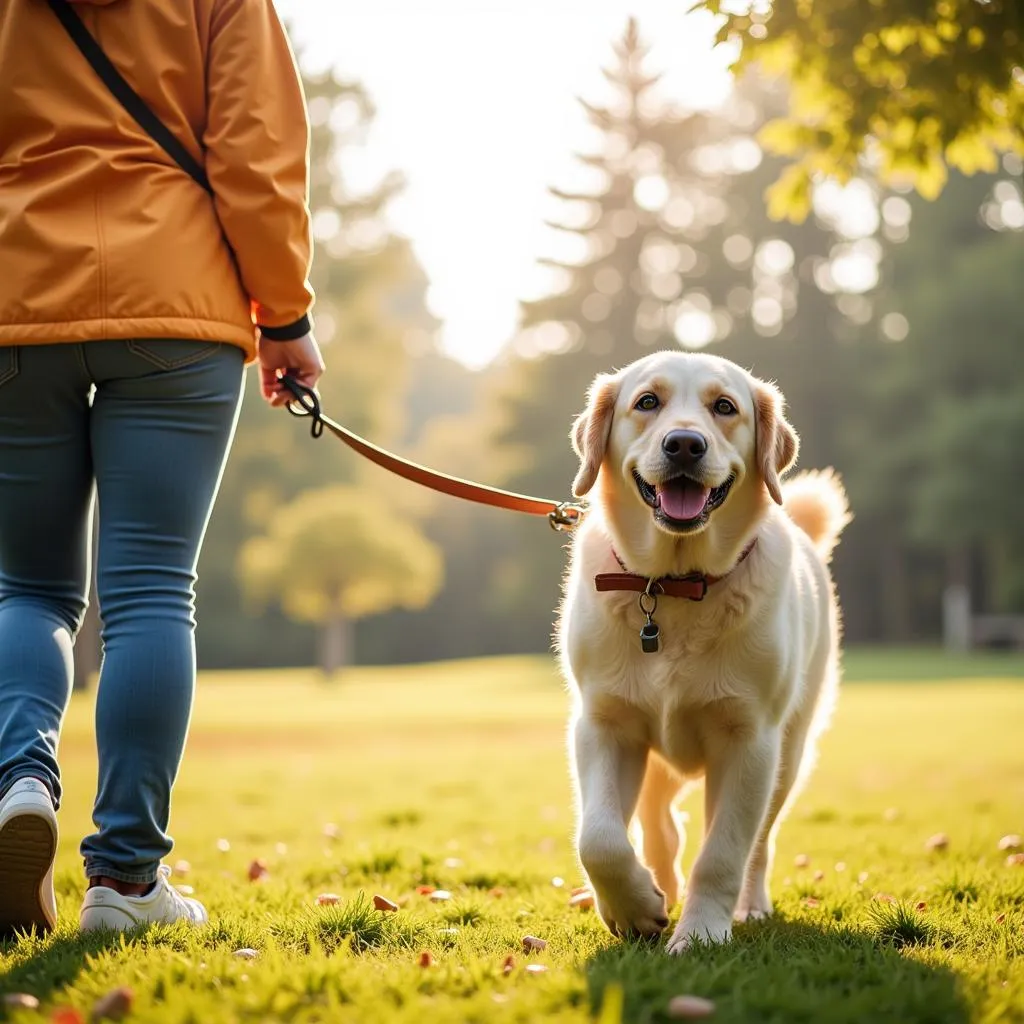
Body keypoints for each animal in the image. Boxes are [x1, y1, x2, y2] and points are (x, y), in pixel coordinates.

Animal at [557, 350, 851, 950]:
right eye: (647, 402)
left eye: (725, 407)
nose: (685, 445)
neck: (672, 586)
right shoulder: (603, 723)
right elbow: (598, 838)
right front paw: (634, 908)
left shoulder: (750, 740)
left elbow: (724, 852)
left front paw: (701, 935)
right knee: (658, 826)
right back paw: (659, 885)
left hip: (789, 753)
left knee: (759, 843)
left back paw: (749, 905)